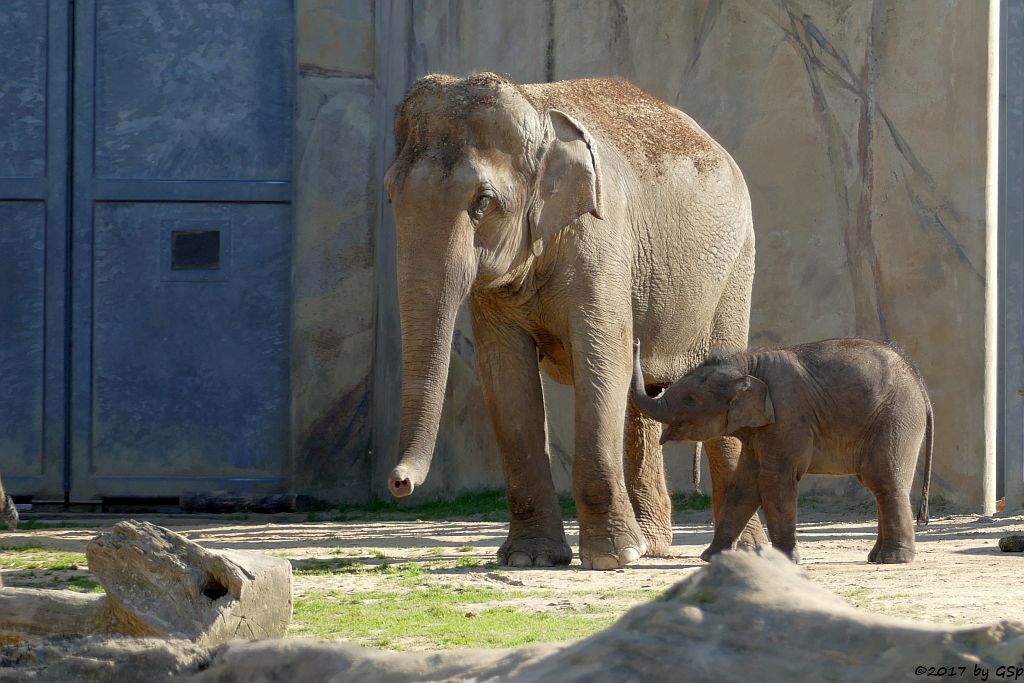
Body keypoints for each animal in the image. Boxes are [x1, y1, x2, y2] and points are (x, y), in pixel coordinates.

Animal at [385, 72, 770, 569]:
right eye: (391, 194)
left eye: (483, 201)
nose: (399, 483)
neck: (537, 110)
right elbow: (506, 378)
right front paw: (529, 559)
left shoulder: (600, 243)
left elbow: (600, 364)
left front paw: (613, 559)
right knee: (640, 396)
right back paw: (653, 545)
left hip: (735, 269)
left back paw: (741, 552)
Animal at [626, 337, 933, 565]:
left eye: (690, 399)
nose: (636, 341)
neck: (748, 364)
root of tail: (918, 378)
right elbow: (745, 485)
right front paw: (712, 557)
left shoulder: (788, 416)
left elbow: (775, 480)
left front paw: (785, 560)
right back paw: (876, 557)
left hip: (896, 418)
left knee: (883, 480)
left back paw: (893, 559)